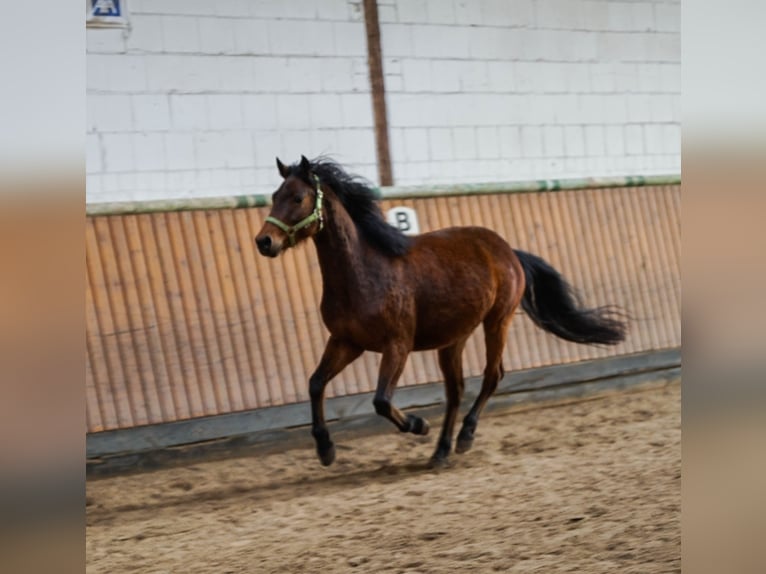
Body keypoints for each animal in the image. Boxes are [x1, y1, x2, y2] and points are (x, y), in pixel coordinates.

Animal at [255, 156, 628, 468]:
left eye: (297, 198)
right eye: (275, 195)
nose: (264, 242)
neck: (364, 272)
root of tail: (508, 250)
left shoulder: (397, 345)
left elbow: (380, 400)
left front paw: (418, 424)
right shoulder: (347, 341)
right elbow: (316, 383)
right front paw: (325, 449)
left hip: (498, 321)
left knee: (492, 376)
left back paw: (464, 437)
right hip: (454, 339)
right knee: (456, 390)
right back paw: (441, 451)